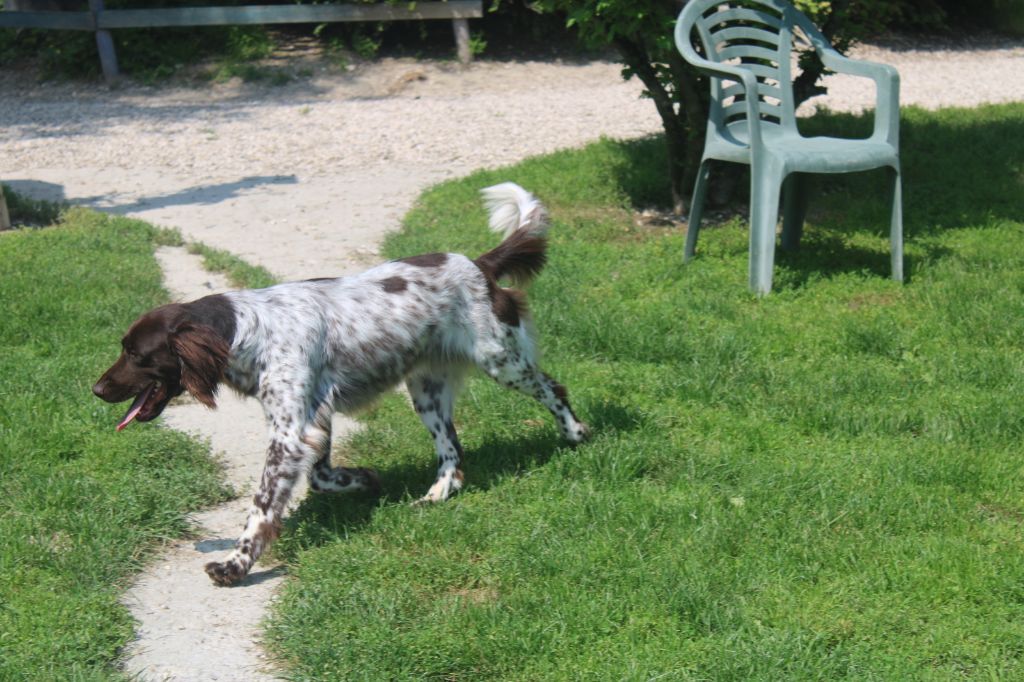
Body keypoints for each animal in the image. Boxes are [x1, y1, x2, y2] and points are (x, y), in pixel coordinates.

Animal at [97, 184, 593, 585]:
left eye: (136, 354)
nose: (96, 389)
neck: (247, 331)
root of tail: (479, 264)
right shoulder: (314, 418)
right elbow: (320, 477)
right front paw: (363, 480)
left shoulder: (290, 431)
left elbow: (262, 505)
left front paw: (236, 564)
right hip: (426, 391)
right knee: (452, 450)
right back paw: (436, 494)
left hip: (500, 359)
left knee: (553, 390)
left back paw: (576, 433)